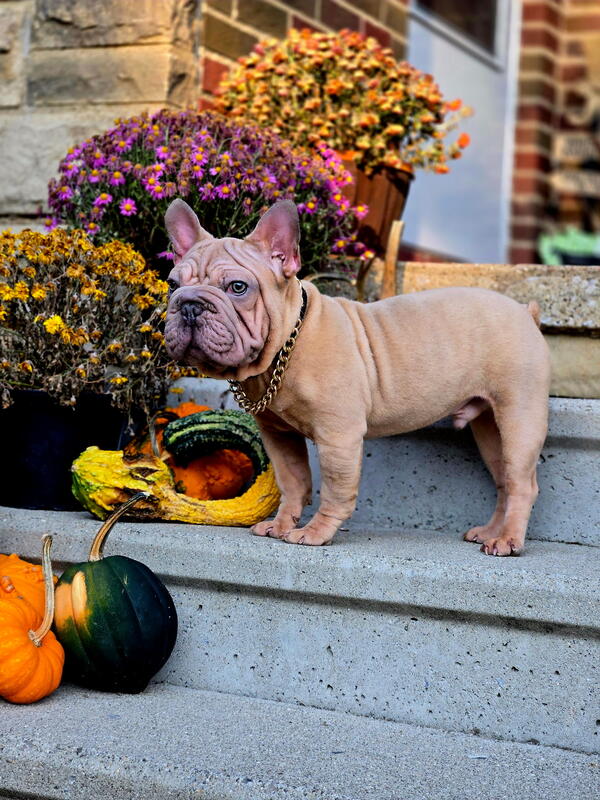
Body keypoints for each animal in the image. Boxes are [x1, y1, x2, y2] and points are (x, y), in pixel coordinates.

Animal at [164, 198, 551, 556]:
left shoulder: (339, 436)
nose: (189, 304)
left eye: (238, 287)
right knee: (504, 481)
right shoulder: (279, 435)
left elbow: (336, 490)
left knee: (522, 484)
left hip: (519, 417)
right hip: (489, 429)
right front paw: (281, 524)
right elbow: (293, 482)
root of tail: (525, 311)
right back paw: (491, 532)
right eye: (172, 284)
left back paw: (508, 540)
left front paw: (315, 532)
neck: (286, 347)